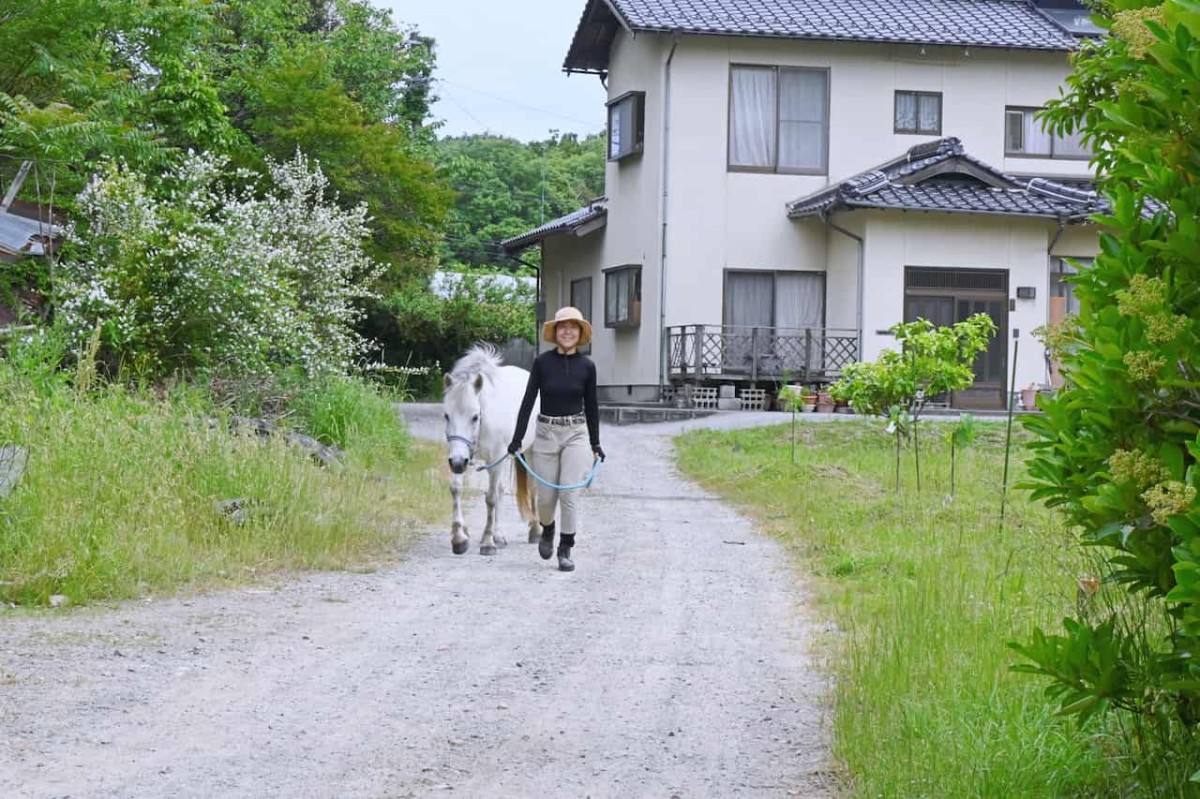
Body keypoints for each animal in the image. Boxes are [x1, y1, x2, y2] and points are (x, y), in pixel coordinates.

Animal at [441, 343, 540, 554]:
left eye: (475, 416)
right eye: (446, 416)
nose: (458, 464)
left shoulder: (494, 457)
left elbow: (491, 498)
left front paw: (487, 542)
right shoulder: (460, 456)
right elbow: (456, 489)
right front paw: (459, 538)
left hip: (530, 451)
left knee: (533, 487)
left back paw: (535, 531)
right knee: (501, 491)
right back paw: (499, 535)